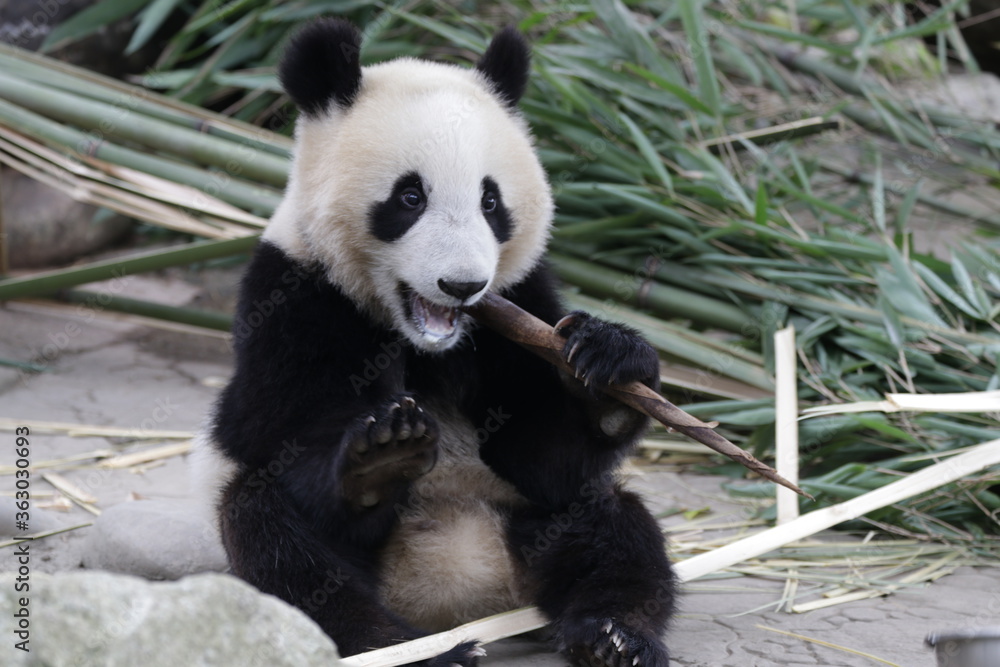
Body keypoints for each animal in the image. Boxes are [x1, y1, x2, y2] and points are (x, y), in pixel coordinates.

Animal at [198, 18, 676, 667]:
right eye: (409, 197)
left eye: (491, 201)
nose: (463, 285)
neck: (426, 342)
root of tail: (465, 594)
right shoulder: (293, 295)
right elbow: (276, 436)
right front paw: (384, 454)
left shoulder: (521, 306)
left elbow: (545, 459)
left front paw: (608, 371)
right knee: (277, 545)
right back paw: (414, 650)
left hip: (527, 524)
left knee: (614, 526)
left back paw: (614, 636)